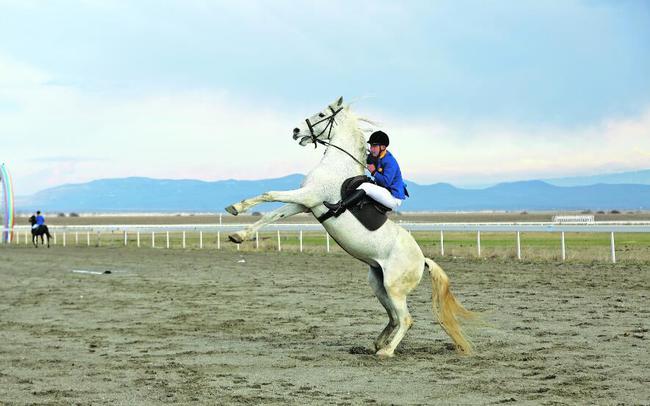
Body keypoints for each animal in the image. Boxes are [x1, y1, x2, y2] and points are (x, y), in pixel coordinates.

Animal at [225, 96, 474, 356]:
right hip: (378, 284)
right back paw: (378, 343)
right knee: (394, 318)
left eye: (321, 114)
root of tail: (422, 259)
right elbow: (272, 215)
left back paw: (386, 351)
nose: (295, 131)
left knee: (406, 319)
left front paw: (236, 207)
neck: (337, 164)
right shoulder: (305, 203)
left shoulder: (309, 196)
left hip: (394, 288)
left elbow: (269, 194)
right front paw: (238, 234)